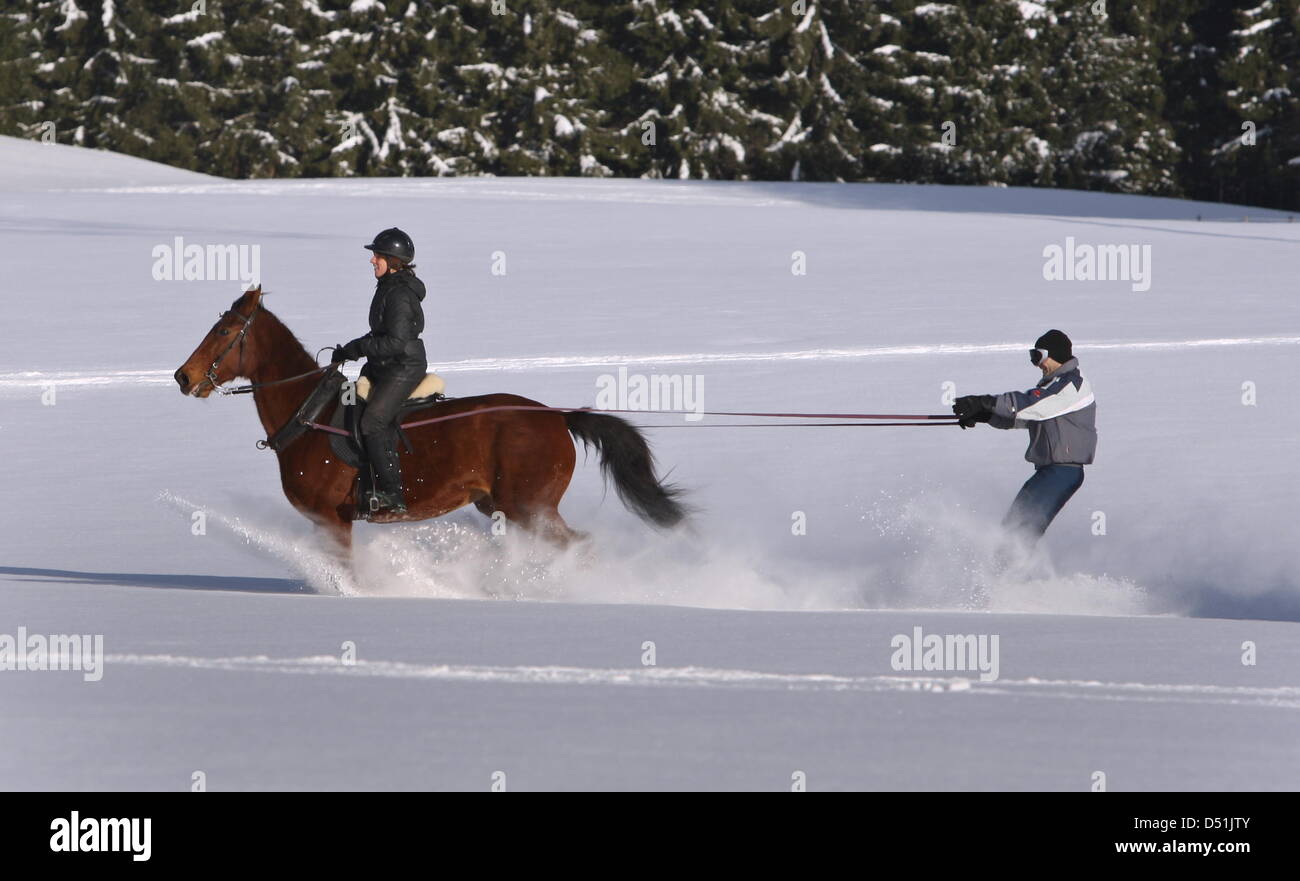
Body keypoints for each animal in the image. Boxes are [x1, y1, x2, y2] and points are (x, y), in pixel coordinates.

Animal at [173, 287, 687, 561]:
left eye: (224, 331)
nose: (184, 377)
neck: (311, 414)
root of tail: (556, 418)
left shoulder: (334, 523)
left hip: (531, 508)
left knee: (579, 544)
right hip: (505, 507)